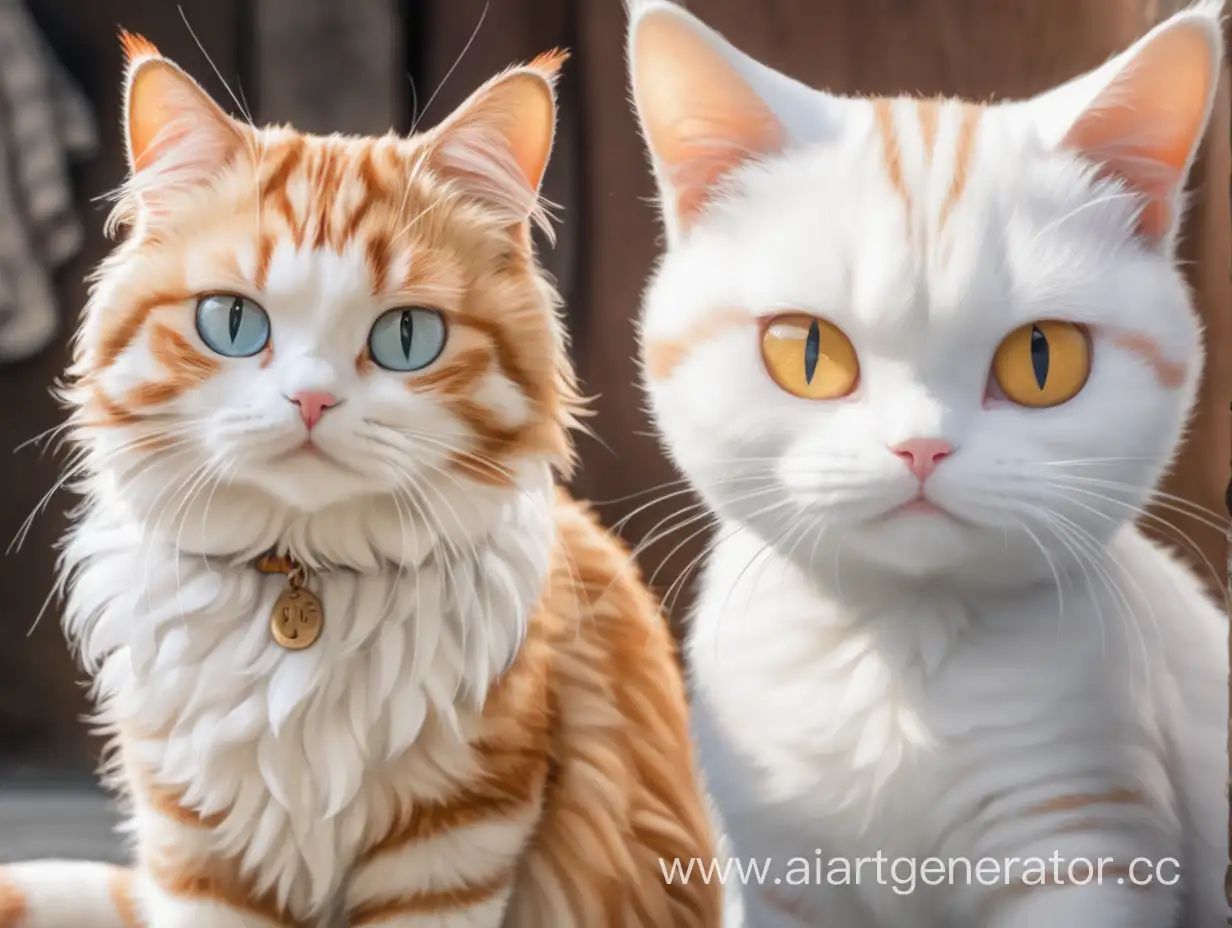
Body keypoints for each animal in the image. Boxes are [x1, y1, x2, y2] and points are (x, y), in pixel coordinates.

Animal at [0, 32, 719, 921]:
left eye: (407, 336)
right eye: (231, 323)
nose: (312, 400)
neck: (302, 581)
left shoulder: (456, 840)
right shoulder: (194, 847)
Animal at [630, 1, 1227, 926]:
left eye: (1042, 359)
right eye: (806, 351)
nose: (921, 446)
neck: (896, 663)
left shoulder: (1083, 831)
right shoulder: (779, 871)